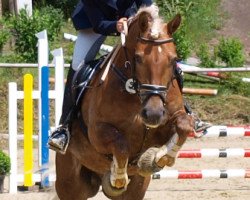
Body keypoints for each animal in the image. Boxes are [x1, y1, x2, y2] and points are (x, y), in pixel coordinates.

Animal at [56, 5, 193, 200]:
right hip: (70, 184)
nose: (153, 114)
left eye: (174, 59)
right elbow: (121, 146)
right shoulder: (98, 131)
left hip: (136, 188)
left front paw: (158, 158)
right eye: (138, 58)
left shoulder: (172, 119)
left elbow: (183, 126)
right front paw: (117, 178)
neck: (136, 95)